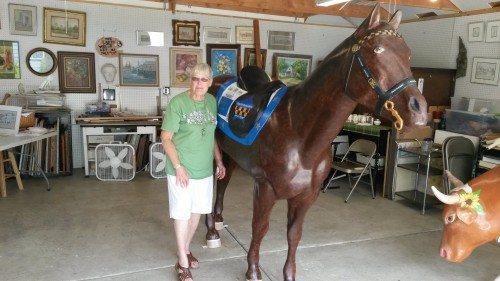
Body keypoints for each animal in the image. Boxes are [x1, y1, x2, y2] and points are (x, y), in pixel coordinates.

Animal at [206, 4, 426, 280]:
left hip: (230, 157)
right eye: (377, 50)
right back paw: (211, 231)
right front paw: (253, 271)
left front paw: (289, 274)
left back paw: (217, 222)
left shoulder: (306, 197)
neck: (299, 134)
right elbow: (260, 228)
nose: (420, 111)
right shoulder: (265, 189)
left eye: (408, 54)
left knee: (223, 184)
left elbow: (294, 234)